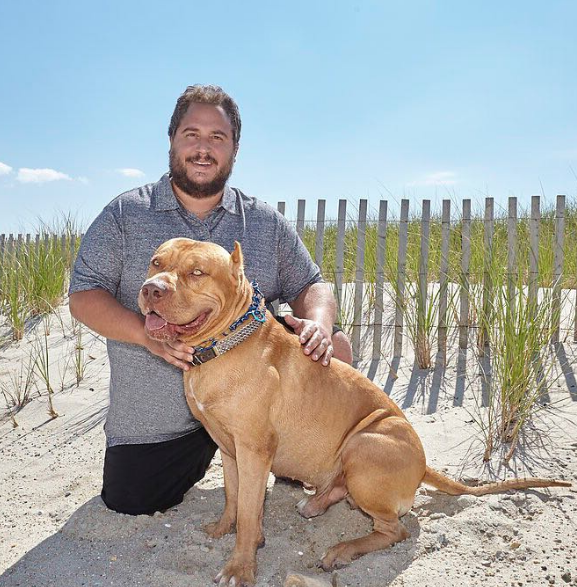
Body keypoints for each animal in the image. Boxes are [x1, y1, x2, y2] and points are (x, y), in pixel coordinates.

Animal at [138, 237, 568, 584]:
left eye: (197, 272)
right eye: (156, 263)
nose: (150, 289)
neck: (224, 344)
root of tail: (423, 465)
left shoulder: (254, 451)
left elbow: (248, 514)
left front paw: (240, 569)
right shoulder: (229, 450)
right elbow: (233, 499)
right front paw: (222, 530)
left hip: (365, 444)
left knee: (395, 530)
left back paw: (342, 550)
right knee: (345, 492)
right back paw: (316, 503)